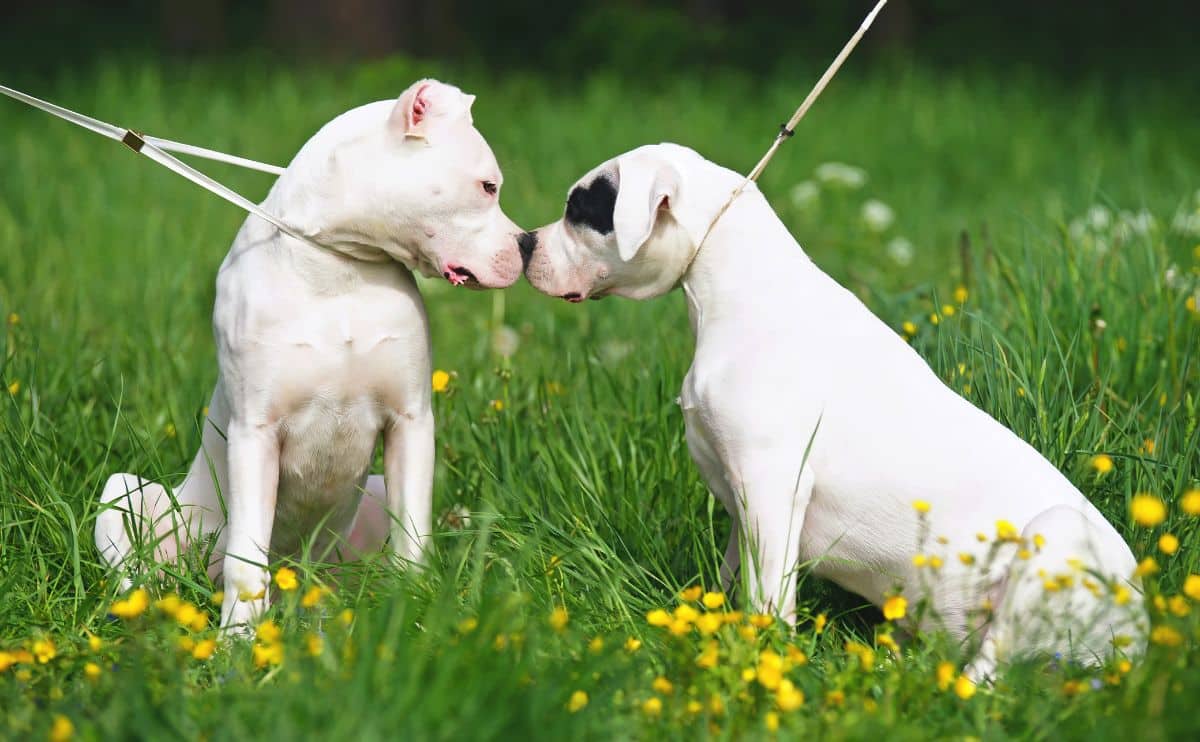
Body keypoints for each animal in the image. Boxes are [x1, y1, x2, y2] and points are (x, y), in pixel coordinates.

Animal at [96, 78, 523, 629]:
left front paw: (414, 614)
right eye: (488, 187)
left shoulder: (410, 422)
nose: (527, 246)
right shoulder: (255, 434)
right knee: (144, 571)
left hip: (369, 500)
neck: (339, 267)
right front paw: (236, 641)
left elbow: (414, 538)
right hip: (123, 495)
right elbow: (246, 559)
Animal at [520, 141, 1147, 677]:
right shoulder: (742, 497)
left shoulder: (773, 488)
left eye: (580, 210)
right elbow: (734, 577)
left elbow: (768, 597)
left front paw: (764, 659)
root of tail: (1142, 636)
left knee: (990, 672)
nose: (525, 243)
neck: (733, 289)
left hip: (1055, 539)